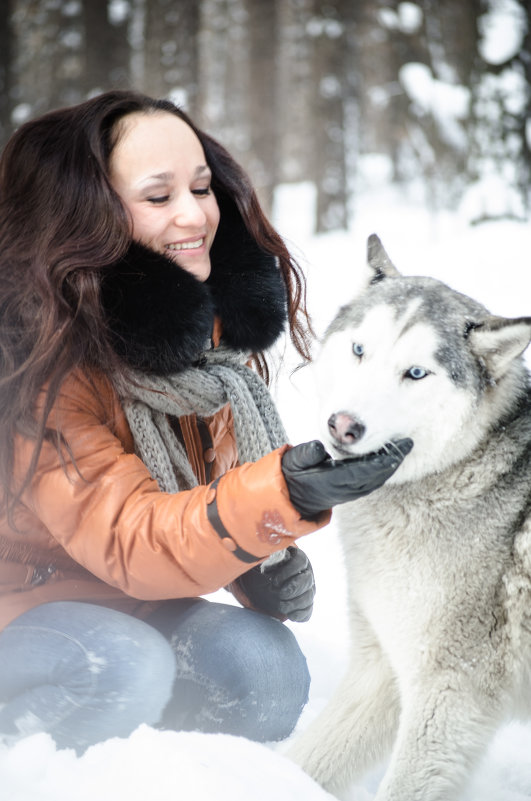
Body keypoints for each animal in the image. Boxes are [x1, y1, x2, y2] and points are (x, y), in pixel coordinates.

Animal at [288, 236, 531, 800]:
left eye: (416, 373)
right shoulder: (382, 669)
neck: (461, 467)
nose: (343, 426)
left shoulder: (450, 696)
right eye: (360, 350)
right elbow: (300, 762)